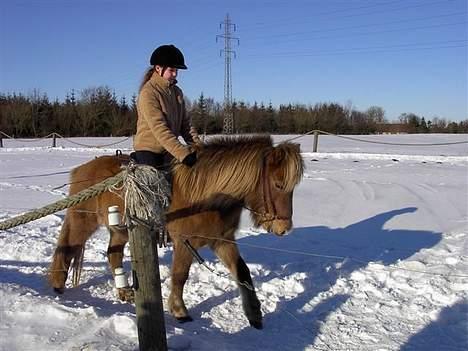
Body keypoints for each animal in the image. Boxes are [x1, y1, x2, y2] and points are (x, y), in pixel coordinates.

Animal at [47, 135, 304, 330]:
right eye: (278, 185)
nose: (284, 228)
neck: (207, 196)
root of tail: (81, 169)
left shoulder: (222, 241)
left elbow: (243, 273)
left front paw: (254, 314)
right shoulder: (185, 243)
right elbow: (180, 276)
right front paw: (179, 311)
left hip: (120, 230)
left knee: (113, 254)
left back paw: (123, 292)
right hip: (83, 220)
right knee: (67, 245)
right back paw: (57, 285)